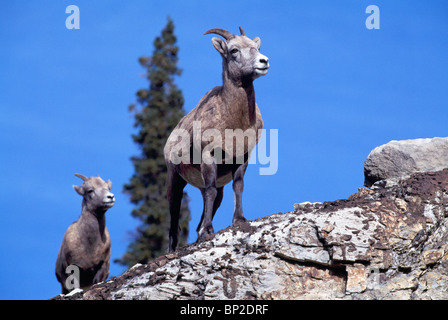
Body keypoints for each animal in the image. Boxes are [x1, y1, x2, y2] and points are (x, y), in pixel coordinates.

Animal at [164, 26, 270, 252]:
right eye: (234, 50)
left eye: (256, 47)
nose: (263, 61)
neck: (235, 123)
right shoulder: (208, 156)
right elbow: (211, 190)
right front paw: (208, 231)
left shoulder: (242, 157)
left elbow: (238, 186)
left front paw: (239, 220)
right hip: (174, 180)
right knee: (174, 219)